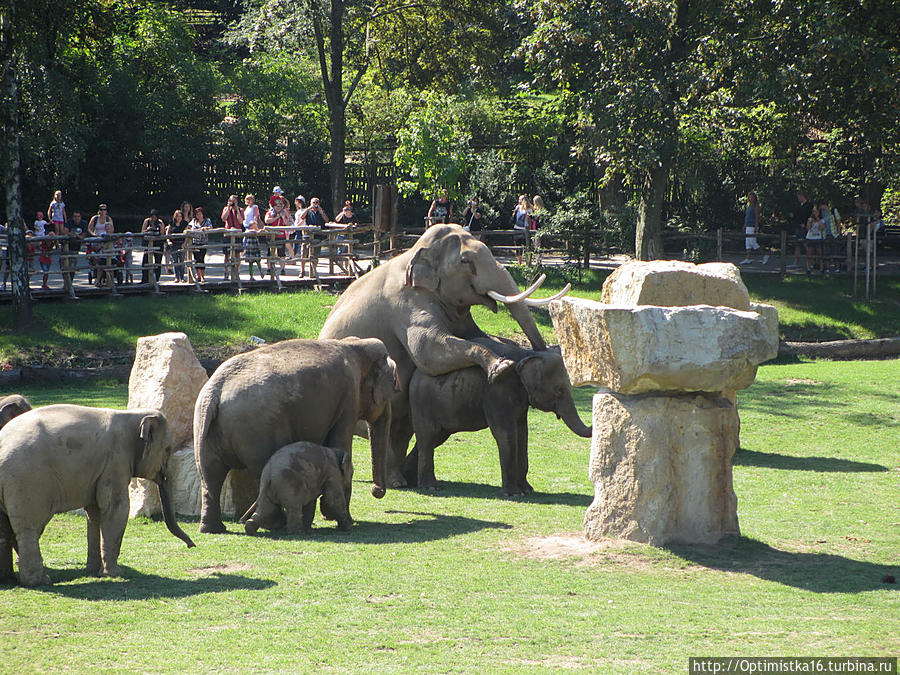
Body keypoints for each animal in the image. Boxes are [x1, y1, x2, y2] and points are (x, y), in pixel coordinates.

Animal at [0, 406, 195, 588]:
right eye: (168, 449)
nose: (191, 546)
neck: (131, 415)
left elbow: (93, 513)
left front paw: (92, 571)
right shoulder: (116, 461)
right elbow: (117, 508)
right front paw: (115, 574)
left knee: (5, 530)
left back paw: (8, 580)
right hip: (28, 481)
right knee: (29, 529)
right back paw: (39, 581)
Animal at [194, 336, 400, 532]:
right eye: (394, 389)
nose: (376, 490)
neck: (355, 345)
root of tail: (214, 393)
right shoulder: (349, 396)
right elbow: (340, 442)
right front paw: (340, 520)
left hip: (204, 429)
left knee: (210, 476)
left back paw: (214, 528)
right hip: (258, 431)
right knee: (259, 469)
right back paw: (276, 523)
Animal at [318, 224, 568, 488]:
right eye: (465, 261)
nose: (544, 351)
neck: (416, 251)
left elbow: (477, 336)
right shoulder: (406, 303)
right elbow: (428, 350)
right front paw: (501, 367)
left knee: (401, 430)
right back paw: (397, 482)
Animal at [402, 340, 592, 494]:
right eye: (559, 391)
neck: (526, 354)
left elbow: (522, 435)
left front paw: (527, 490)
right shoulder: (497, 392)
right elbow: (506, 434)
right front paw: (514, 494)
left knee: (434, 439)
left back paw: (410, 479)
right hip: (422, 403)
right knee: (428, 438)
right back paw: (430, 487)